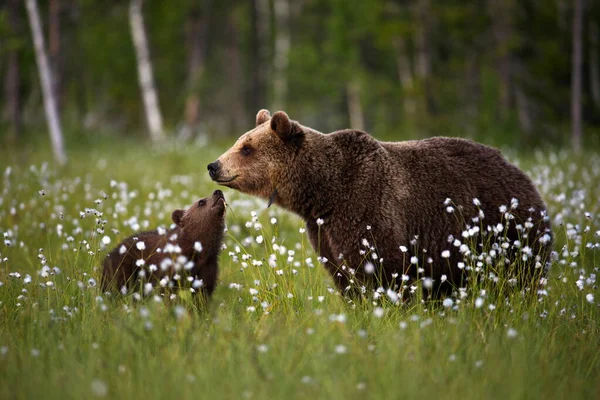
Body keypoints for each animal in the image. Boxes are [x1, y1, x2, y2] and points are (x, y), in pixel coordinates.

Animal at [207, 109, 552, 296]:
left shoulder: (367, 207)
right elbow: (342, 274)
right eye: (240, 141)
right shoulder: (324, 229)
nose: (214, 165)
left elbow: (381, 268)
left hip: (508, 231)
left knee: (520, 276)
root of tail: (522, 174)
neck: (323, 192)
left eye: (247, 148)